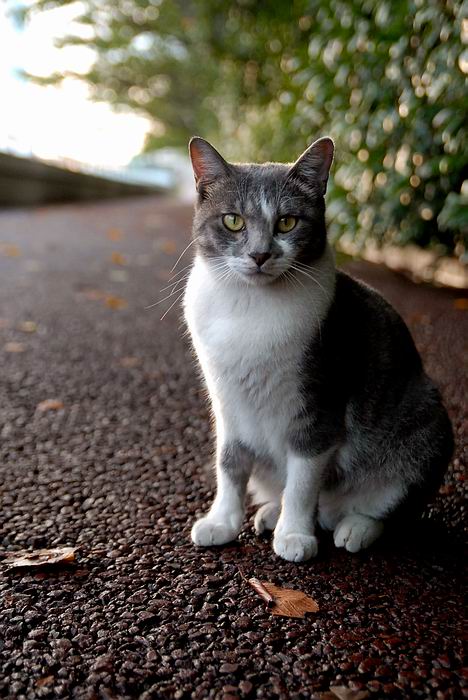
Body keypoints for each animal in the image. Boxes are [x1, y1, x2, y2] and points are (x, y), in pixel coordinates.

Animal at [183, 135, 454, 564]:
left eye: (287, 222)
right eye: (233, 221)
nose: (259, 254)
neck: (249, 305)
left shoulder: (318, 407)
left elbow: (302, 481)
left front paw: (294, 535)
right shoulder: (227, 405)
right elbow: (229, 464)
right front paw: (222, 522)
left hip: (426, 425)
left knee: (388, 509)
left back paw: (352, 528)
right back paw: (270, 512)